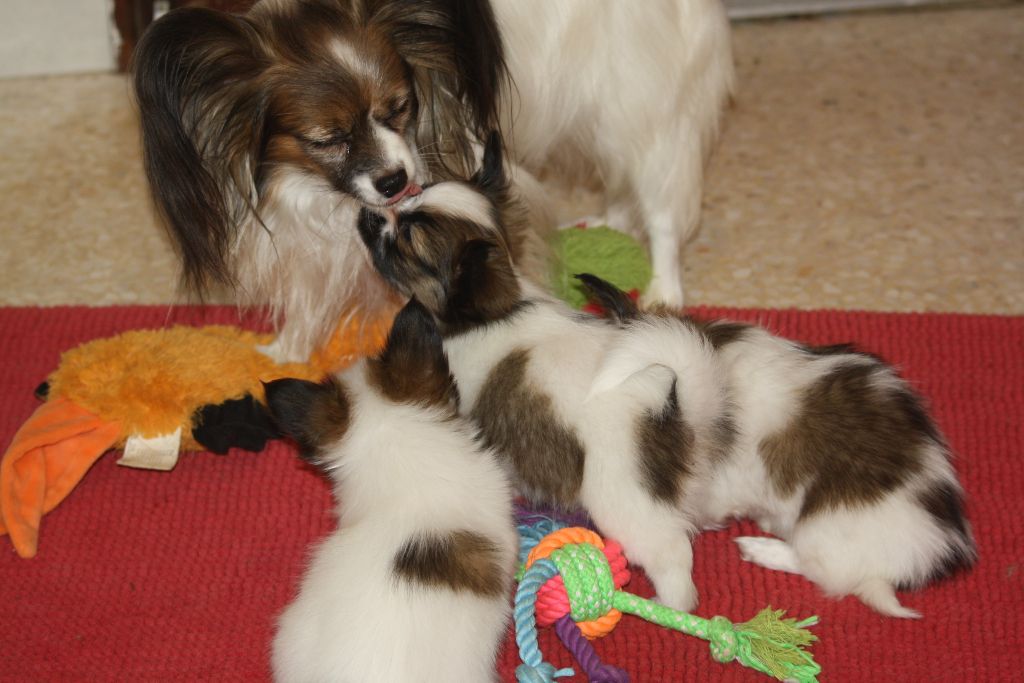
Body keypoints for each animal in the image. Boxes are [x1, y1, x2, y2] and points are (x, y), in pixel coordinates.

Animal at [132, 0, 733, 362]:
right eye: (327, 138)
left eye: (400, 108)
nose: (395, 181)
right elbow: (310, 285)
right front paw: (286, 352)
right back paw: (611, 223)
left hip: (641, 110)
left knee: (663, 203)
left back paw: (663, 288)